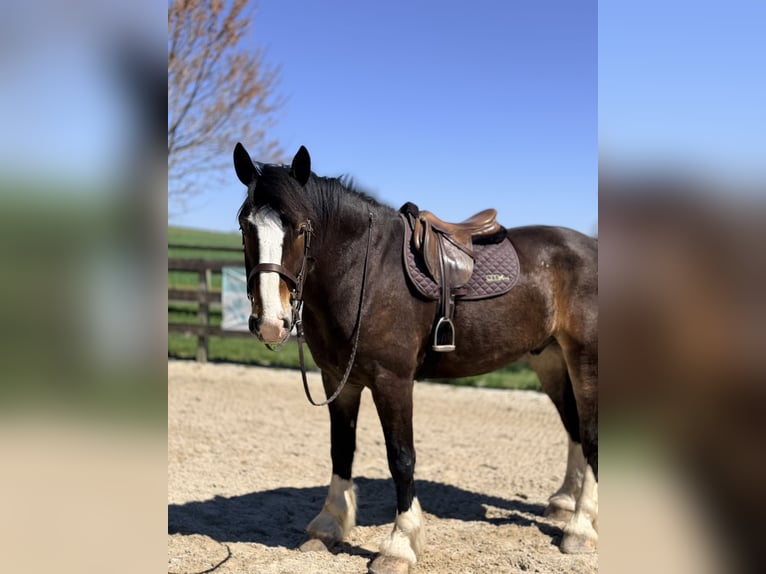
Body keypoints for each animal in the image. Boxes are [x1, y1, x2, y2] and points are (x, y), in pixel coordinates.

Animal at [233, 143, 598, 573]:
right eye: (245, 226)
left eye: (303, 228)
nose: (271, 322)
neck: (366, 271)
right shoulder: (338, 379)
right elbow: (341, 449)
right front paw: (329, 525)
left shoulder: (392, 381)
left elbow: (401, 458)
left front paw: (399, 545)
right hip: (551, 360)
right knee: (574, 429)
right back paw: (564, 503)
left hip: (585, 359)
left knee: (590, 434)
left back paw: (580, 527)